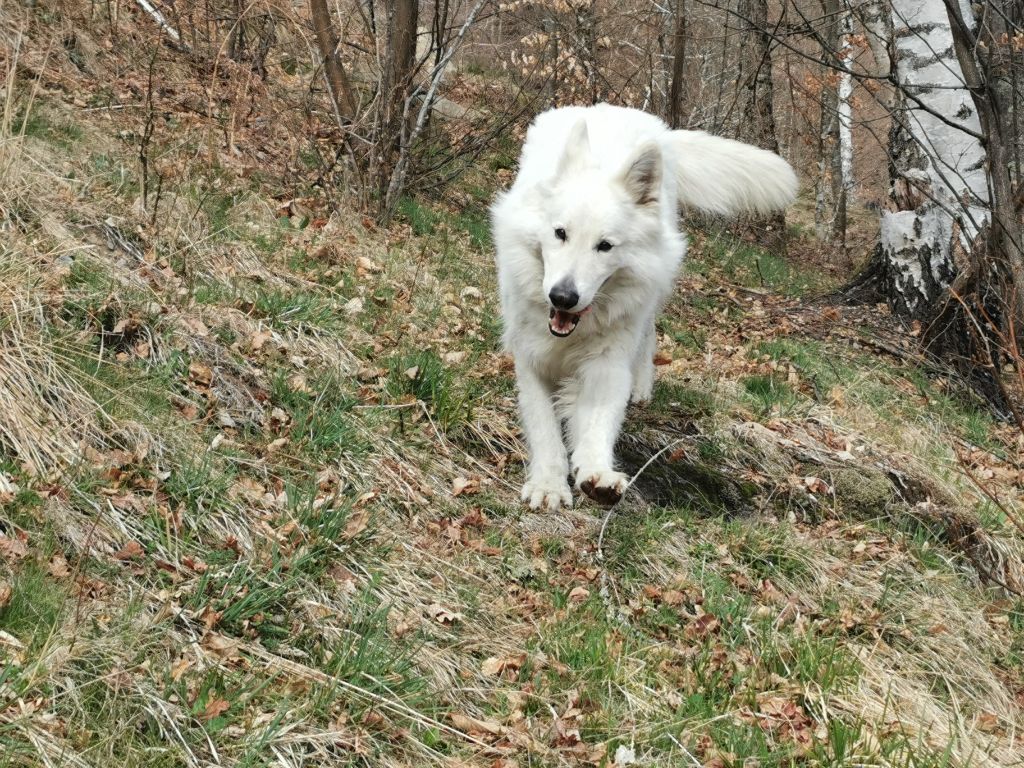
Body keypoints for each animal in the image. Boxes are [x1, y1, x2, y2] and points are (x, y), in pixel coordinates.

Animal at [491, 102, 794, 512]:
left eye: (604, 246)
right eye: (560, 233)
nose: (562, 297)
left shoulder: (606, 365)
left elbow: (598, 423)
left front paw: (597, 473)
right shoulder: (532, 359)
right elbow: (544, 429)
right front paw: (549, 484)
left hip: (648, 299)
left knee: (648, 336)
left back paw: (641, 385)